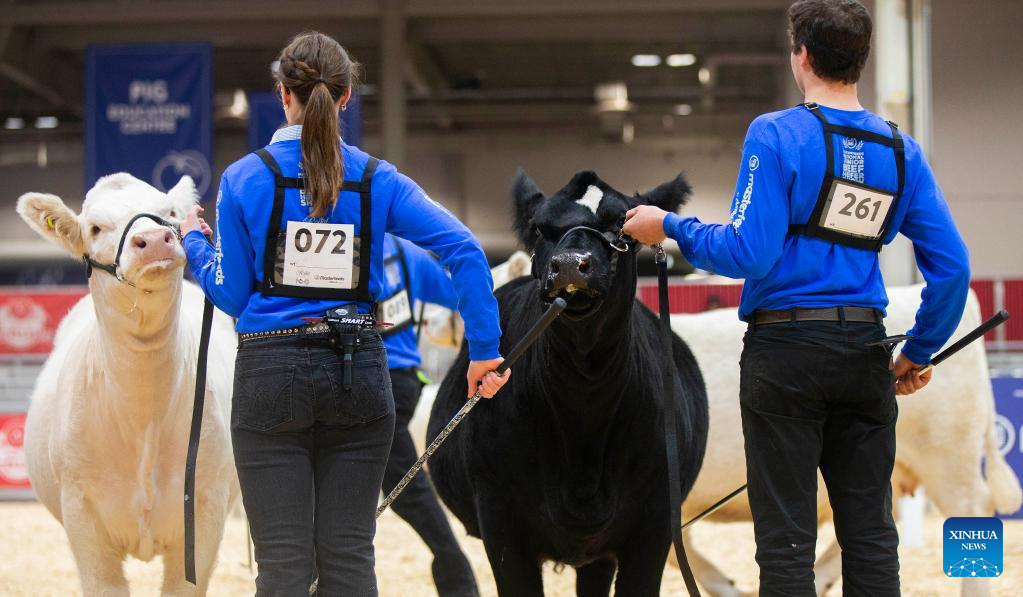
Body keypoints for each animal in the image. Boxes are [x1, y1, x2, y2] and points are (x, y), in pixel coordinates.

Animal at [16, 173, 239, 596]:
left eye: (170, 213)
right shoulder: (81, 513)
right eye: (95, 228)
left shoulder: (206, 509)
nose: (152, 240)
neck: (143, 415)